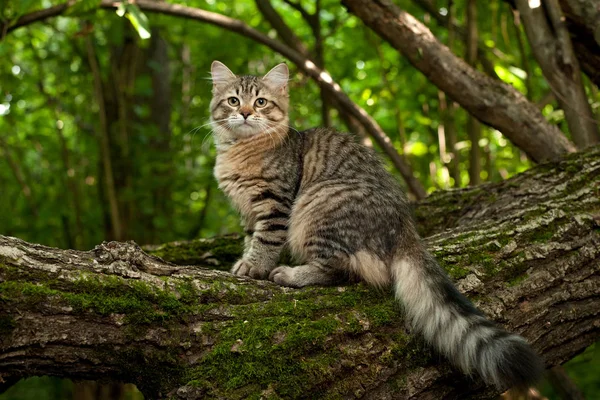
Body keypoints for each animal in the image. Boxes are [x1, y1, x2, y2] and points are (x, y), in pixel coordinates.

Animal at [210, 60, 544, 390]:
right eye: (234, 101)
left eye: (261, 102)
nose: (245, 113)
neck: (240, 150)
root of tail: (405, 227)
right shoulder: (248, 213)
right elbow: (251, 238)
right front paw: (245, 260)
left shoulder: (275, 203)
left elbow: (266, 241)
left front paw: (255, 267)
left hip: (316, 206)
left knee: (339, 269)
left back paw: (291, 274)